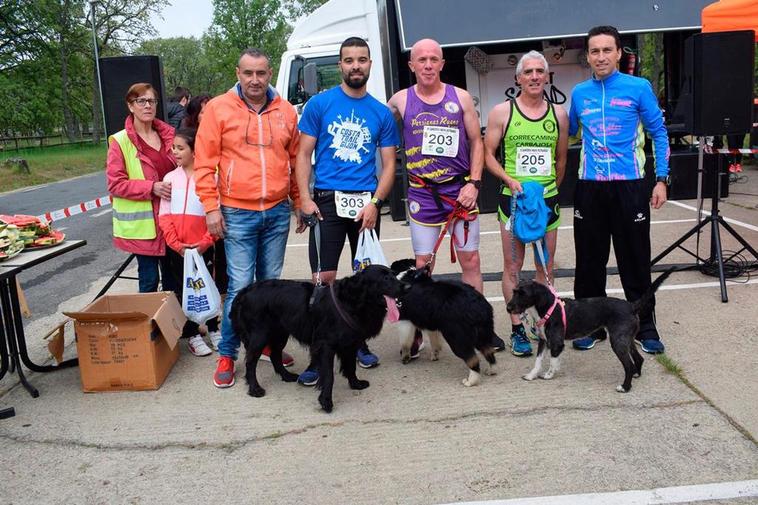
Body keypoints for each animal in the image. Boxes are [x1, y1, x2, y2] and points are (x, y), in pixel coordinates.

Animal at [233, 262, 406, 412]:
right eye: (385, 278)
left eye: (394, 274)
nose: (406, 286)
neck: (351, 301)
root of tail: (246, 290)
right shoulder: (326, 346)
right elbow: (329, 376)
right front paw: (326, 401)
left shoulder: (349, 344)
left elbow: (351, 366)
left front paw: (355, 383)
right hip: (260, 335)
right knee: (251, 362)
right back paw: (255, 388)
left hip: (280, 333)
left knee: (275, 355)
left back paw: (287, 376)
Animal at [508, 270, 672, 392]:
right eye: (514, 291)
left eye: (523, 294)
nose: (508, 308)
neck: (547, 309)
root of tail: (632, 306)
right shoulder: (544, 341)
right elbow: (538, 361)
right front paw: (531, 375)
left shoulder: (556, 343)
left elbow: (553, 361)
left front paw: (549, 375)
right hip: (626, 339)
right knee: (639, 359)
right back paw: (636, 375)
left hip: (618, 342)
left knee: (629, 365)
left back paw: (625, 387)